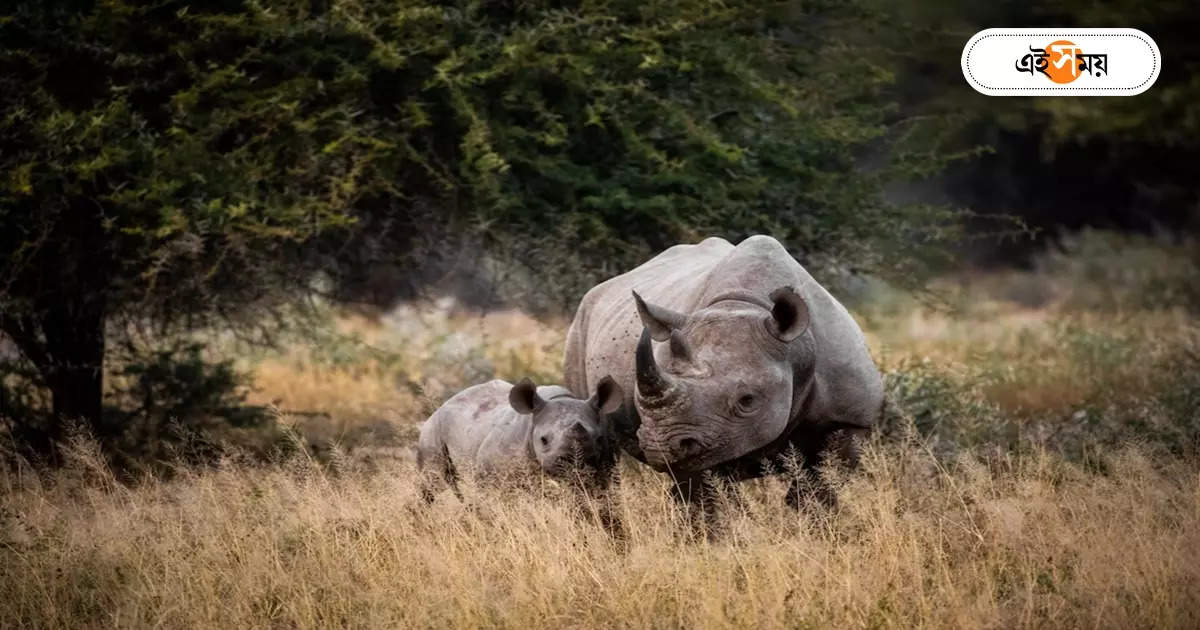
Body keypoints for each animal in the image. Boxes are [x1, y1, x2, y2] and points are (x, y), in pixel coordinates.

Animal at [417, 374, 624, 501]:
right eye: (543, 440)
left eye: (598, 439)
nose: (572, 463)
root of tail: (444, 404)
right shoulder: (491, 476)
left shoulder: (605, 471)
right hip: (432, 430)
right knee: (432, 484)